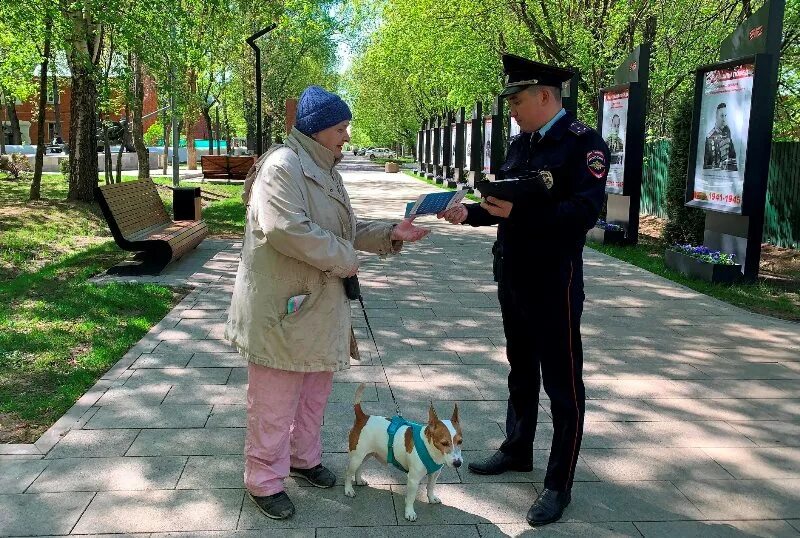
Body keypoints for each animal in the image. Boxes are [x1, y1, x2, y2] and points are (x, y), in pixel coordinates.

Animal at [344, 382, 462, 520]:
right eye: (444, 443)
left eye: (460, 441)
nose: (458, 463)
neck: (431, 449)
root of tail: (363, 417)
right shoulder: (413, 479)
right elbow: (411, 497)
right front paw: (409, 512)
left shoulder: (435, 474)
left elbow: (431, 487)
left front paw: (431, 498)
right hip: (356, 457)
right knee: (348, 472)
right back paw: (348, 489)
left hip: (365, 454)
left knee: (360, 467)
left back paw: (359, 480)